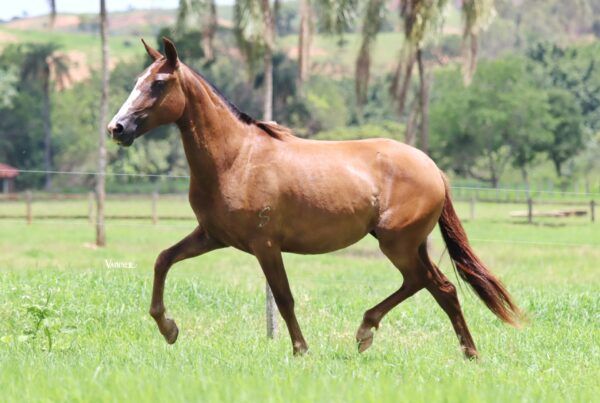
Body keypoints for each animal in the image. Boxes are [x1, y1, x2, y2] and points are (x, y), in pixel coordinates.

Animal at [108, 38, 520, 360]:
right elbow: (163, 260)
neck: (236, 158)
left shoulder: (265, 245)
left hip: (397, 244)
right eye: (137, 81)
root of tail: (433, 169)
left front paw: (301, 350)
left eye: (159, 83)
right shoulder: (212, 236)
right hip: (409, 244)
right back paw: (468, 352)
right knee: (443, 288)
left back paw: (367, 331)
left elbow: (284, 297)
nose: (118, 128)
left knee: (423, 282)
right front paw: (169, 328)